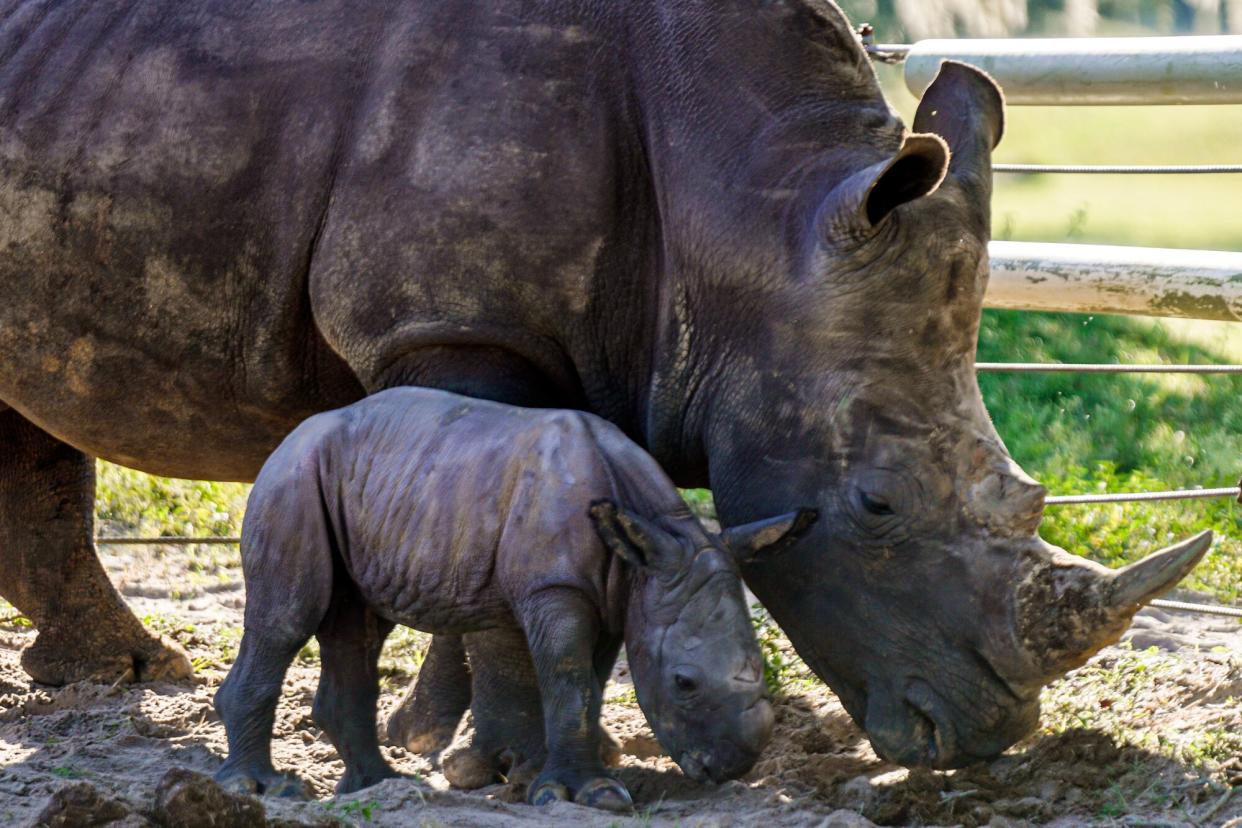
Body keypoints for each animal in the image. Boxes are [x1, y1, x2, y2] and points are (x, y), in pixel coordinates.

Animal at [216, 387, 814, 809]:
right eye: (684, 683)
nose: (732, 767)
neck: (660, 536)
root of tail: (290, 437)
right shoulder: (556, 587)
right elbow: (569, 681)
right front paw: (584, 795)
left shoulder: (621, 594)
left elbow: (589, 686)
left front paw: (546, 783)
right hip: (292, 478)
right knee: (287, 618)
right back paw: (263, 789)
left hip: (378, 486)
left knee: (357, 626)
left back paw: (378, 786)